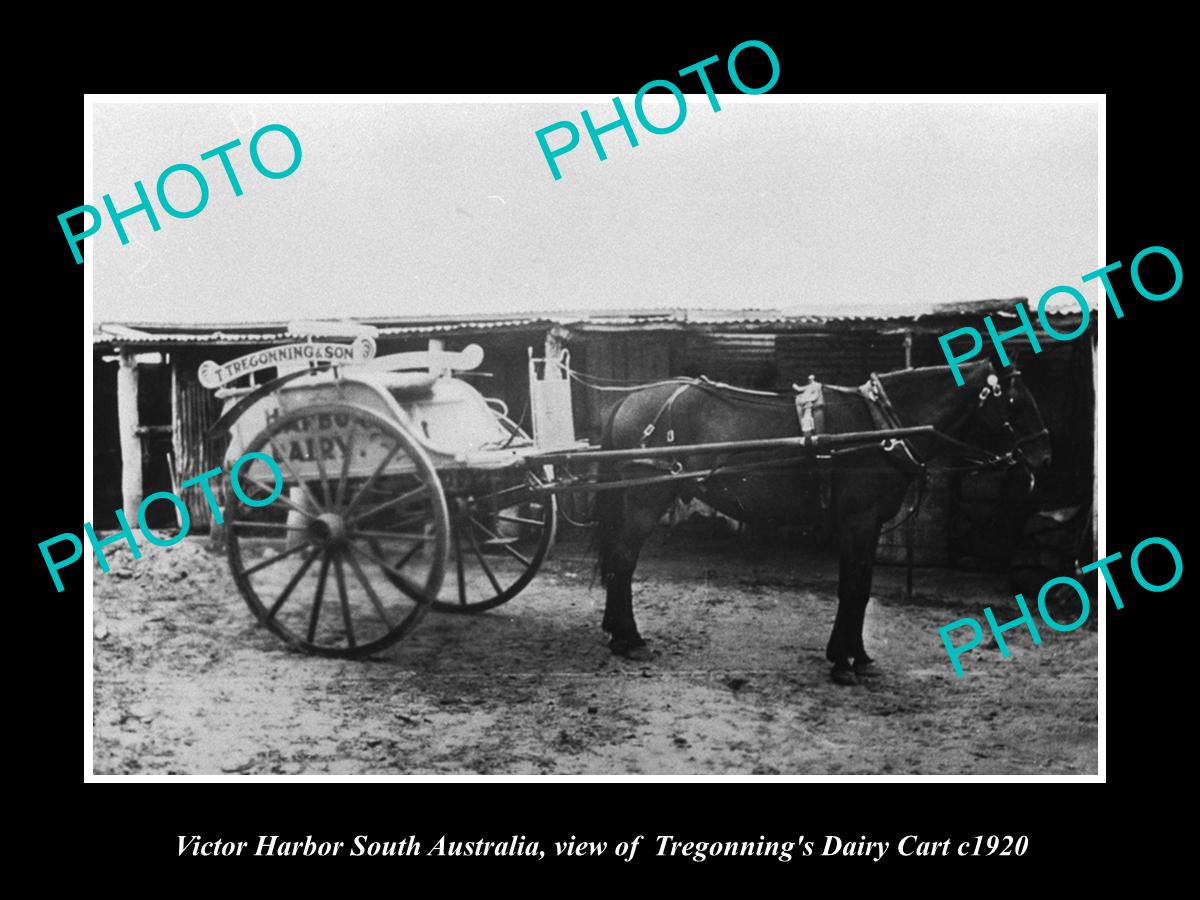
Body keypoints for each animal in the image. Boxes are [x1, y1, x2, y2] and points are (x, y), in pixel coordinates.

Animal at [592, 357, 1051, 681]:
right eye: (1015, 403)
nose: (1043, 457)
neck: (880, 428)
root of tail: (627, 400)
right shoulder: (858, 521)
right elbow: (852, 589)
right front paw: (843, 662)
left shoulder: (869, 525)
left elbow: (861, 588)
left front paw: (856, 655)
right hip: (646, 497)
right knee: (623, 560)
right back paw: (630, 638)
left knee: (618, 562)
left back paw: (616, 632)